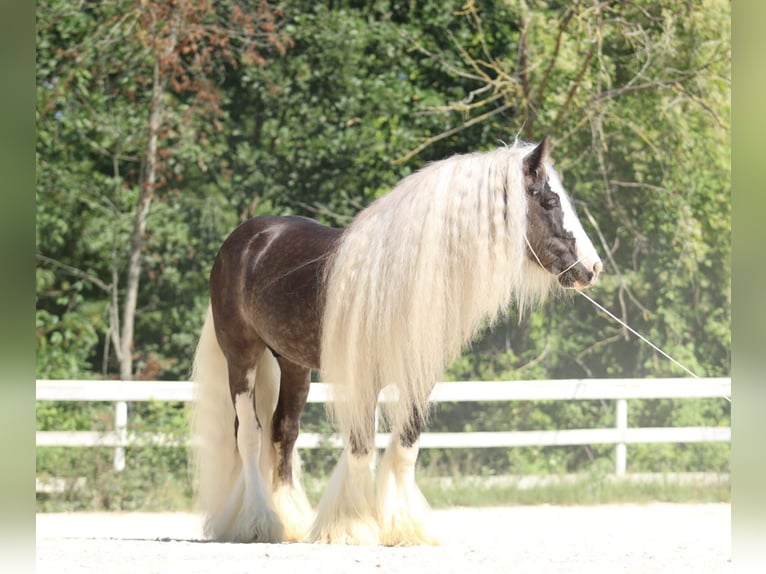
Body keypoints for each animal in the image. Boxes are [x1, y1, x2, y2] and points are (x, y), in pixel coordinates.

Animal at [189, 137, 604, 548]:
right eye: (549, 201)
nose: (593, 267)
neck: (400, 278)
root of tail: (245, 239)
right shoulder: (362, 377)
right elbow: (361, 447)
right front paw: (351, 527)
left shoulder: (420, 376)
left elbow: (406, 444)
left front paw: (404, 527)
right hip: (242, 356)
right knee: (250, 435)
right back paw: (257, 522)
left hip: (294, 365)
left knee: (283, 432)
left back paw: (289, 521)